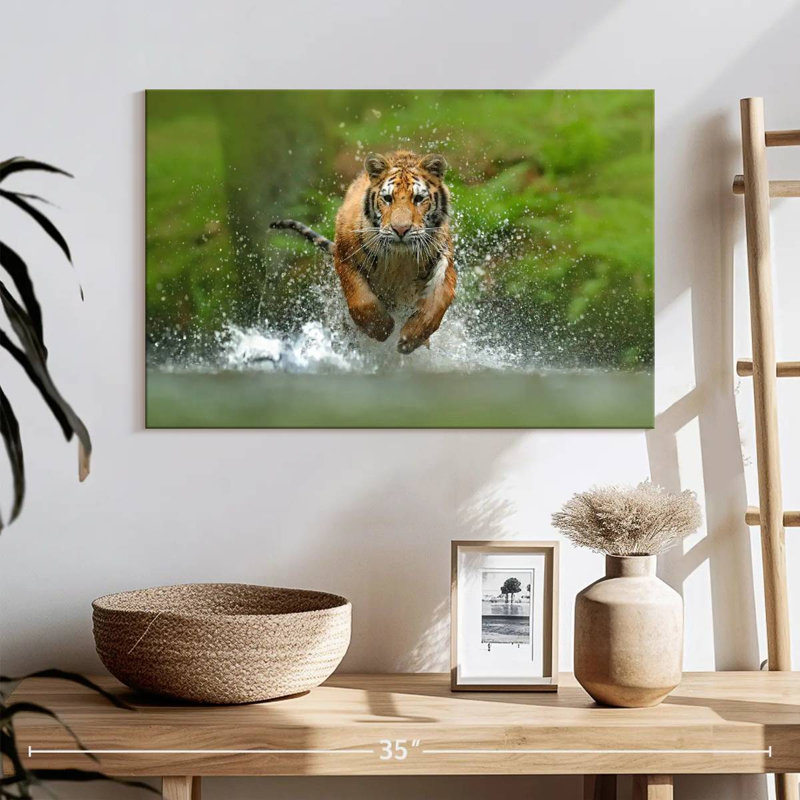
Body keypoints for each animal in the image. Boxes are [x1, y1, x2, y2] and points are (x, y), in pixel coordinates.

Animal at [270, 150, 456, 354]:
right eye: (388, 198)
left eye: (418, 199)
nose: (400, 229)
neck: (400, 257)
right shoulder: (345, 257)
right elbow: (361, 300)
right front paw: (382, 329)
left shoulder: (444, 258)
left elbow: (438, 301)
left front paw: (411, 338)